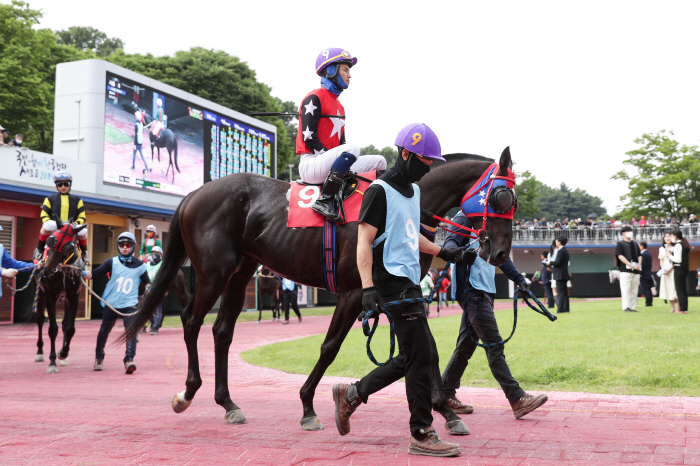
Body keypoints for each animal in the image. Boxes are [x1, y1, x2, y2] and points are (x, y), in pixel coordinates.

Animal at [34, 219, 87, 374]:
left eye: (68, 247)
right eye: (51, 240)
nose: (47, 270)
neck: (62, 268)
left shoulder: (74, 296)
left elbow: (70, 328)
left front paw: (63, 353)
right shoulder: (49, 295)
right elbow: (52, 329)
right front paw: (52, 362)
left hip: (65, 299)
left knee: (64, 324)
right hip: (40, 295)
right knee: (40, 320)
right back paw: (39, 352)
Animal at [124, 148, 516, 430]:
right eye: (501, 197)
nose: (498, 253)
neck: (403, 203)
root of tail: (195, 192)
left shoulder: (402, 295)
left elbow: (427, 349)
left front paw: (446, 413)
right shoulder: (355, 293)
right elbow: (330, 348)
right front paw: (308, 405)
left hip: (242, 269)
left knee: (222, 330)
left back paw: (228, 403)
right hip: (213, 272)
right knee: (191, 321)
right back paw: (188, 391)